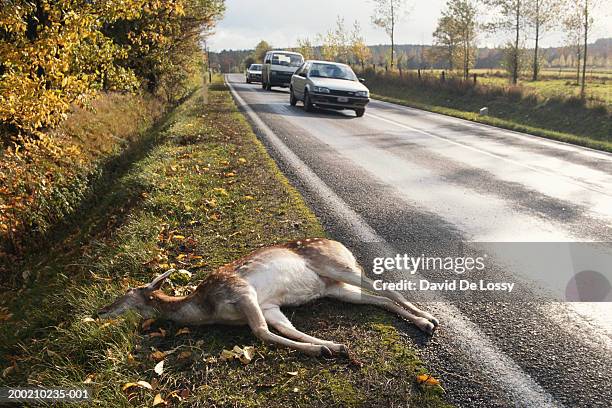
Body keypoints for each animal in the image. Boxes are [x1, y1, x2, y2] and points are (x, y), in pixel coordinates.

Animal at [98, 237, 438, 356]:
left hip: (335, 263)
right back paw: (424, 324)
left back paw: (430, 319)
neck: (207, 310)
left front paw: (323, 350)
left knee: (382, 286)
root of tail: (342, 245)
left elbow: (261, 332)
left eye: (123, 295)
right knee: (378, 299)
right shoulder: (269, 304)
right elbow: (286, 328)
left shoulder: (240, 290)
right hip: (334, 288)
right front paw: (333, 346)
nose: (99, 311)